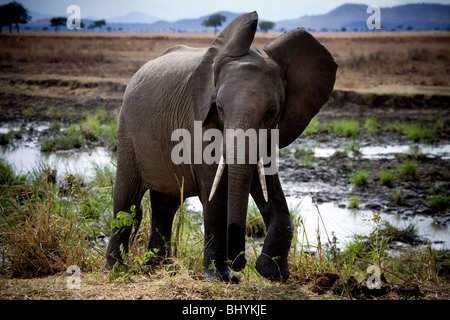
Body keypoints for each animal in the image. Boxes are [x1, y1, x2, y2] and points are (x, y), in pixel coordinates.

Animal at [106, 11, 338, 284]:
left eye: (272, 111)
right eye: (218, 107)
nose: (240, 263)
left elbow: (267, 185)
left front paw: (273, 273)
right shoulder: (198, 122)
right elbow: (215, 195)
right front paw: (222, 278)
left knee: (165, 204)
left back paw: (159, 267)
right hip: (127, 132)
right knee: (126, 200)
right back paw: (116, 270)